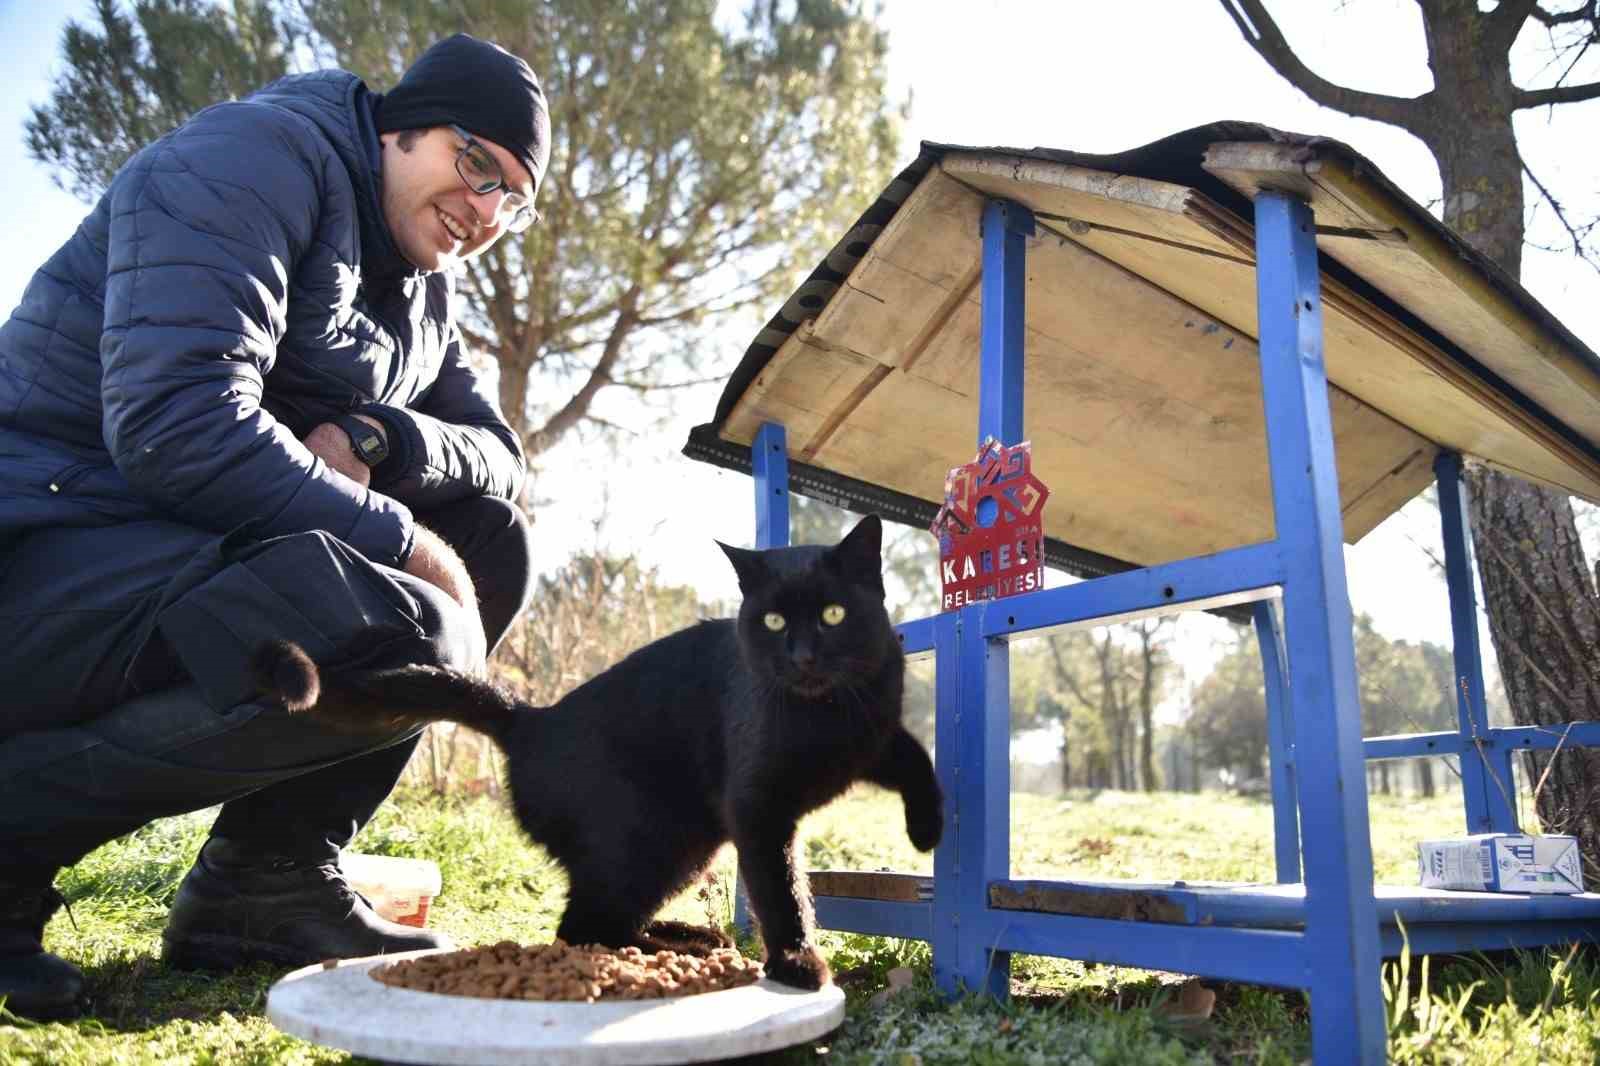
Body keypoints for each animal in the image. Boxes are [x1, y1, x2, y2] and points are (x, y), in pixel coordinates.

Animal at [256, 512, 940, 985]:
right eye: (772, 622)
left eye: (832, 614)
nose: (801, 657)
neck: (823, 714)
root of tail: (532, 721)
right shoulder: (758, 810)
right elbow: (783, 890)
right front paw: (798, 961)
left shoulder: (868, 732)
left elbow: (915, 754)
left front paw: (928, 829)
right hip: (650, 840)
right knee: (579, 930)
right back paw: (670, 948)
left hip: (680, 844)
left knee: (600, 921)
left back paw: (685, 939)